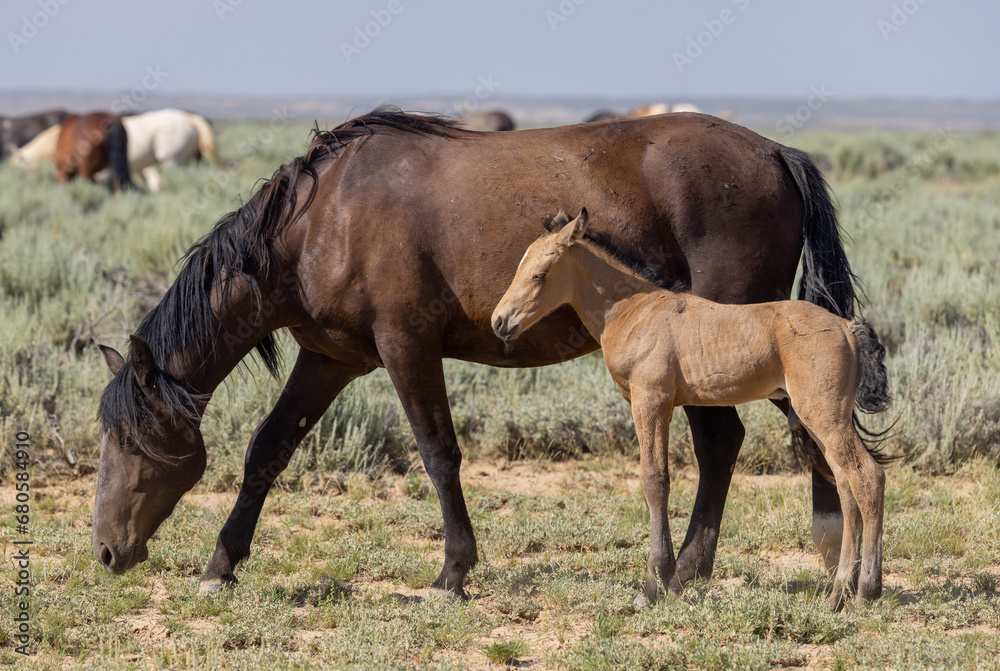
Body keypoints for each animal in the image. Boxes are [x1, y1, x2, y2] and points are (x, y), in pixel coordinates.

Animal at [90, 107, 864, 600]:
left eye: (130, 439)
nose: (106, 550)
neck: (323, 218)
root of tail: (776, 153)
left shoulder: (406, 347)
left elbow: (439, 453)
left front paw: (452, 574)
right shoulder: (330, 360)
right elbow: (267, 450)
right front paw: (221, 564)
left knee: (781, 438)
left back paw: (814, 558)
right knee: (735, 443)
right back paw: (703, 568)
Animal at [492, 210, 892, 616]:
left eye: (539, 274)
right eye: (520, 266)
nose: (500, 321)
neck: (634, 311)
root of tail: (847, 326)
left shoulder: (651, 401)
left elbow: (654, 480)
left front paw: (653, 585)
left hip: (822, 414)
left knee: (867, 477)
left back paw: (865, 590)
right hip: (822, 417)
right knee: (845, 482)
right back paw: (839, 593)